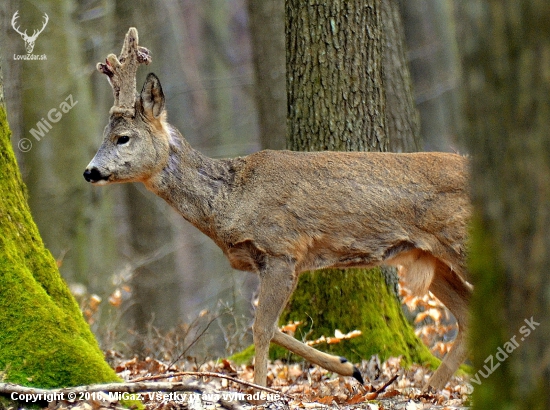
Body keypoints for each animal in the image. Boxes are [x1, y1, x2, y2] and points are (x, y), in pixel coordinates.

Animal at [86, 28, 474, 390]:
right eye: (103, 135)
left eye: (123, 138)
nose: (90, 171)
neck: (233, 201)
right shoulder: (274, 261)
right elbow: (272, 327)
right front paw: (350, 367)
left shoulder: (282, 251)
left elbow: (261, 328)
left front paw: (259, 388)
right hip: (432, 259)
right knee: (468, 315)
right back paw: (429, 390)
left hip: (462, 243)